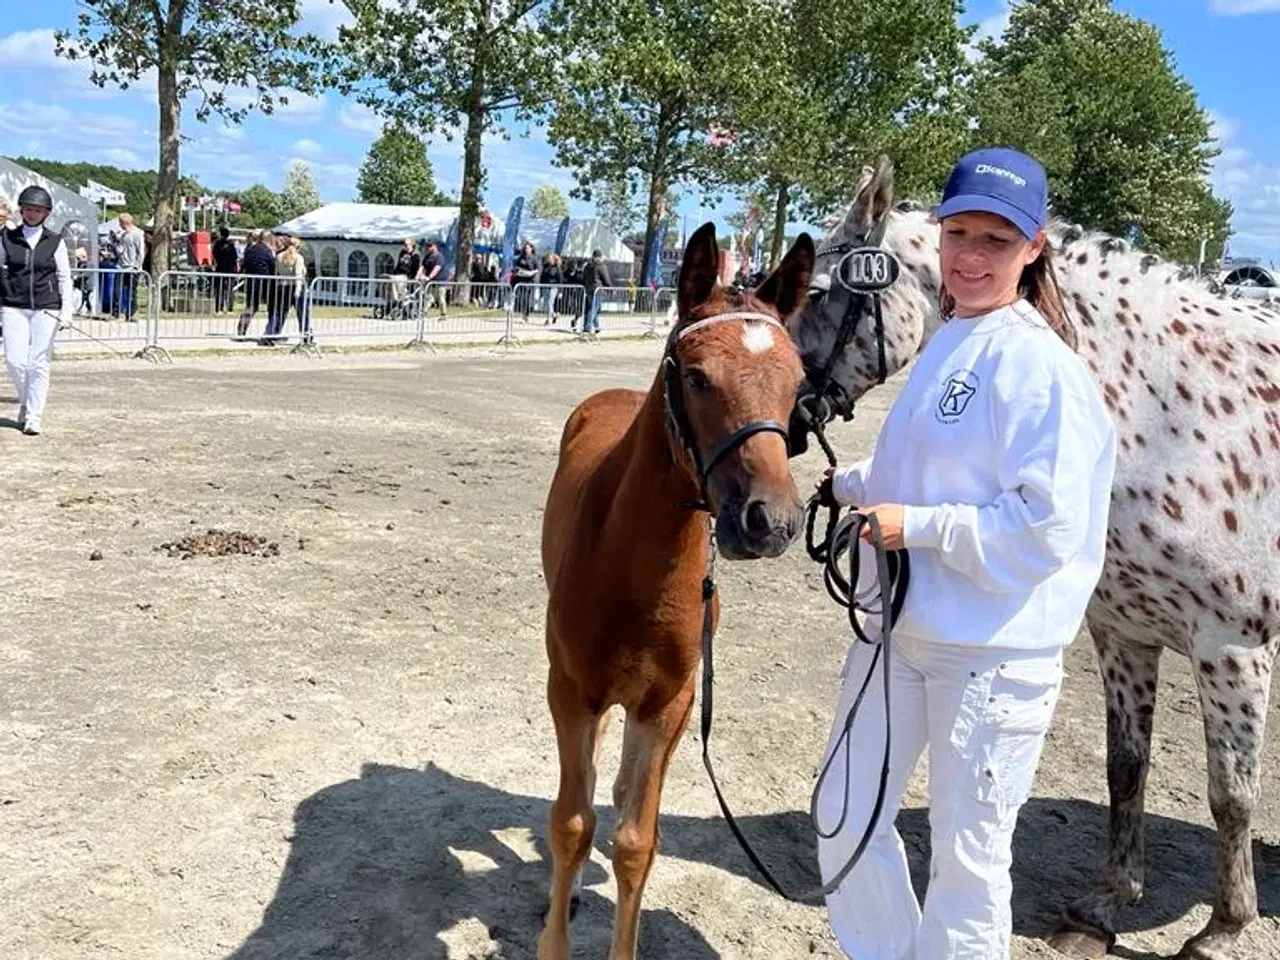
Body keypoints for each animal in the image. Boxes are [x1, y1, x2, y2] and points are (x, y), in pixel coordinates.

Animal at [536, 221, 814, 960]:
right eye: (695, 376)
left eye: (799, 382)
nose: (770, 521)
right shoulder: (569, 687)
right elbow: (570, 823)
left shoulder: (672, 702)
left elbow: (637, 841)